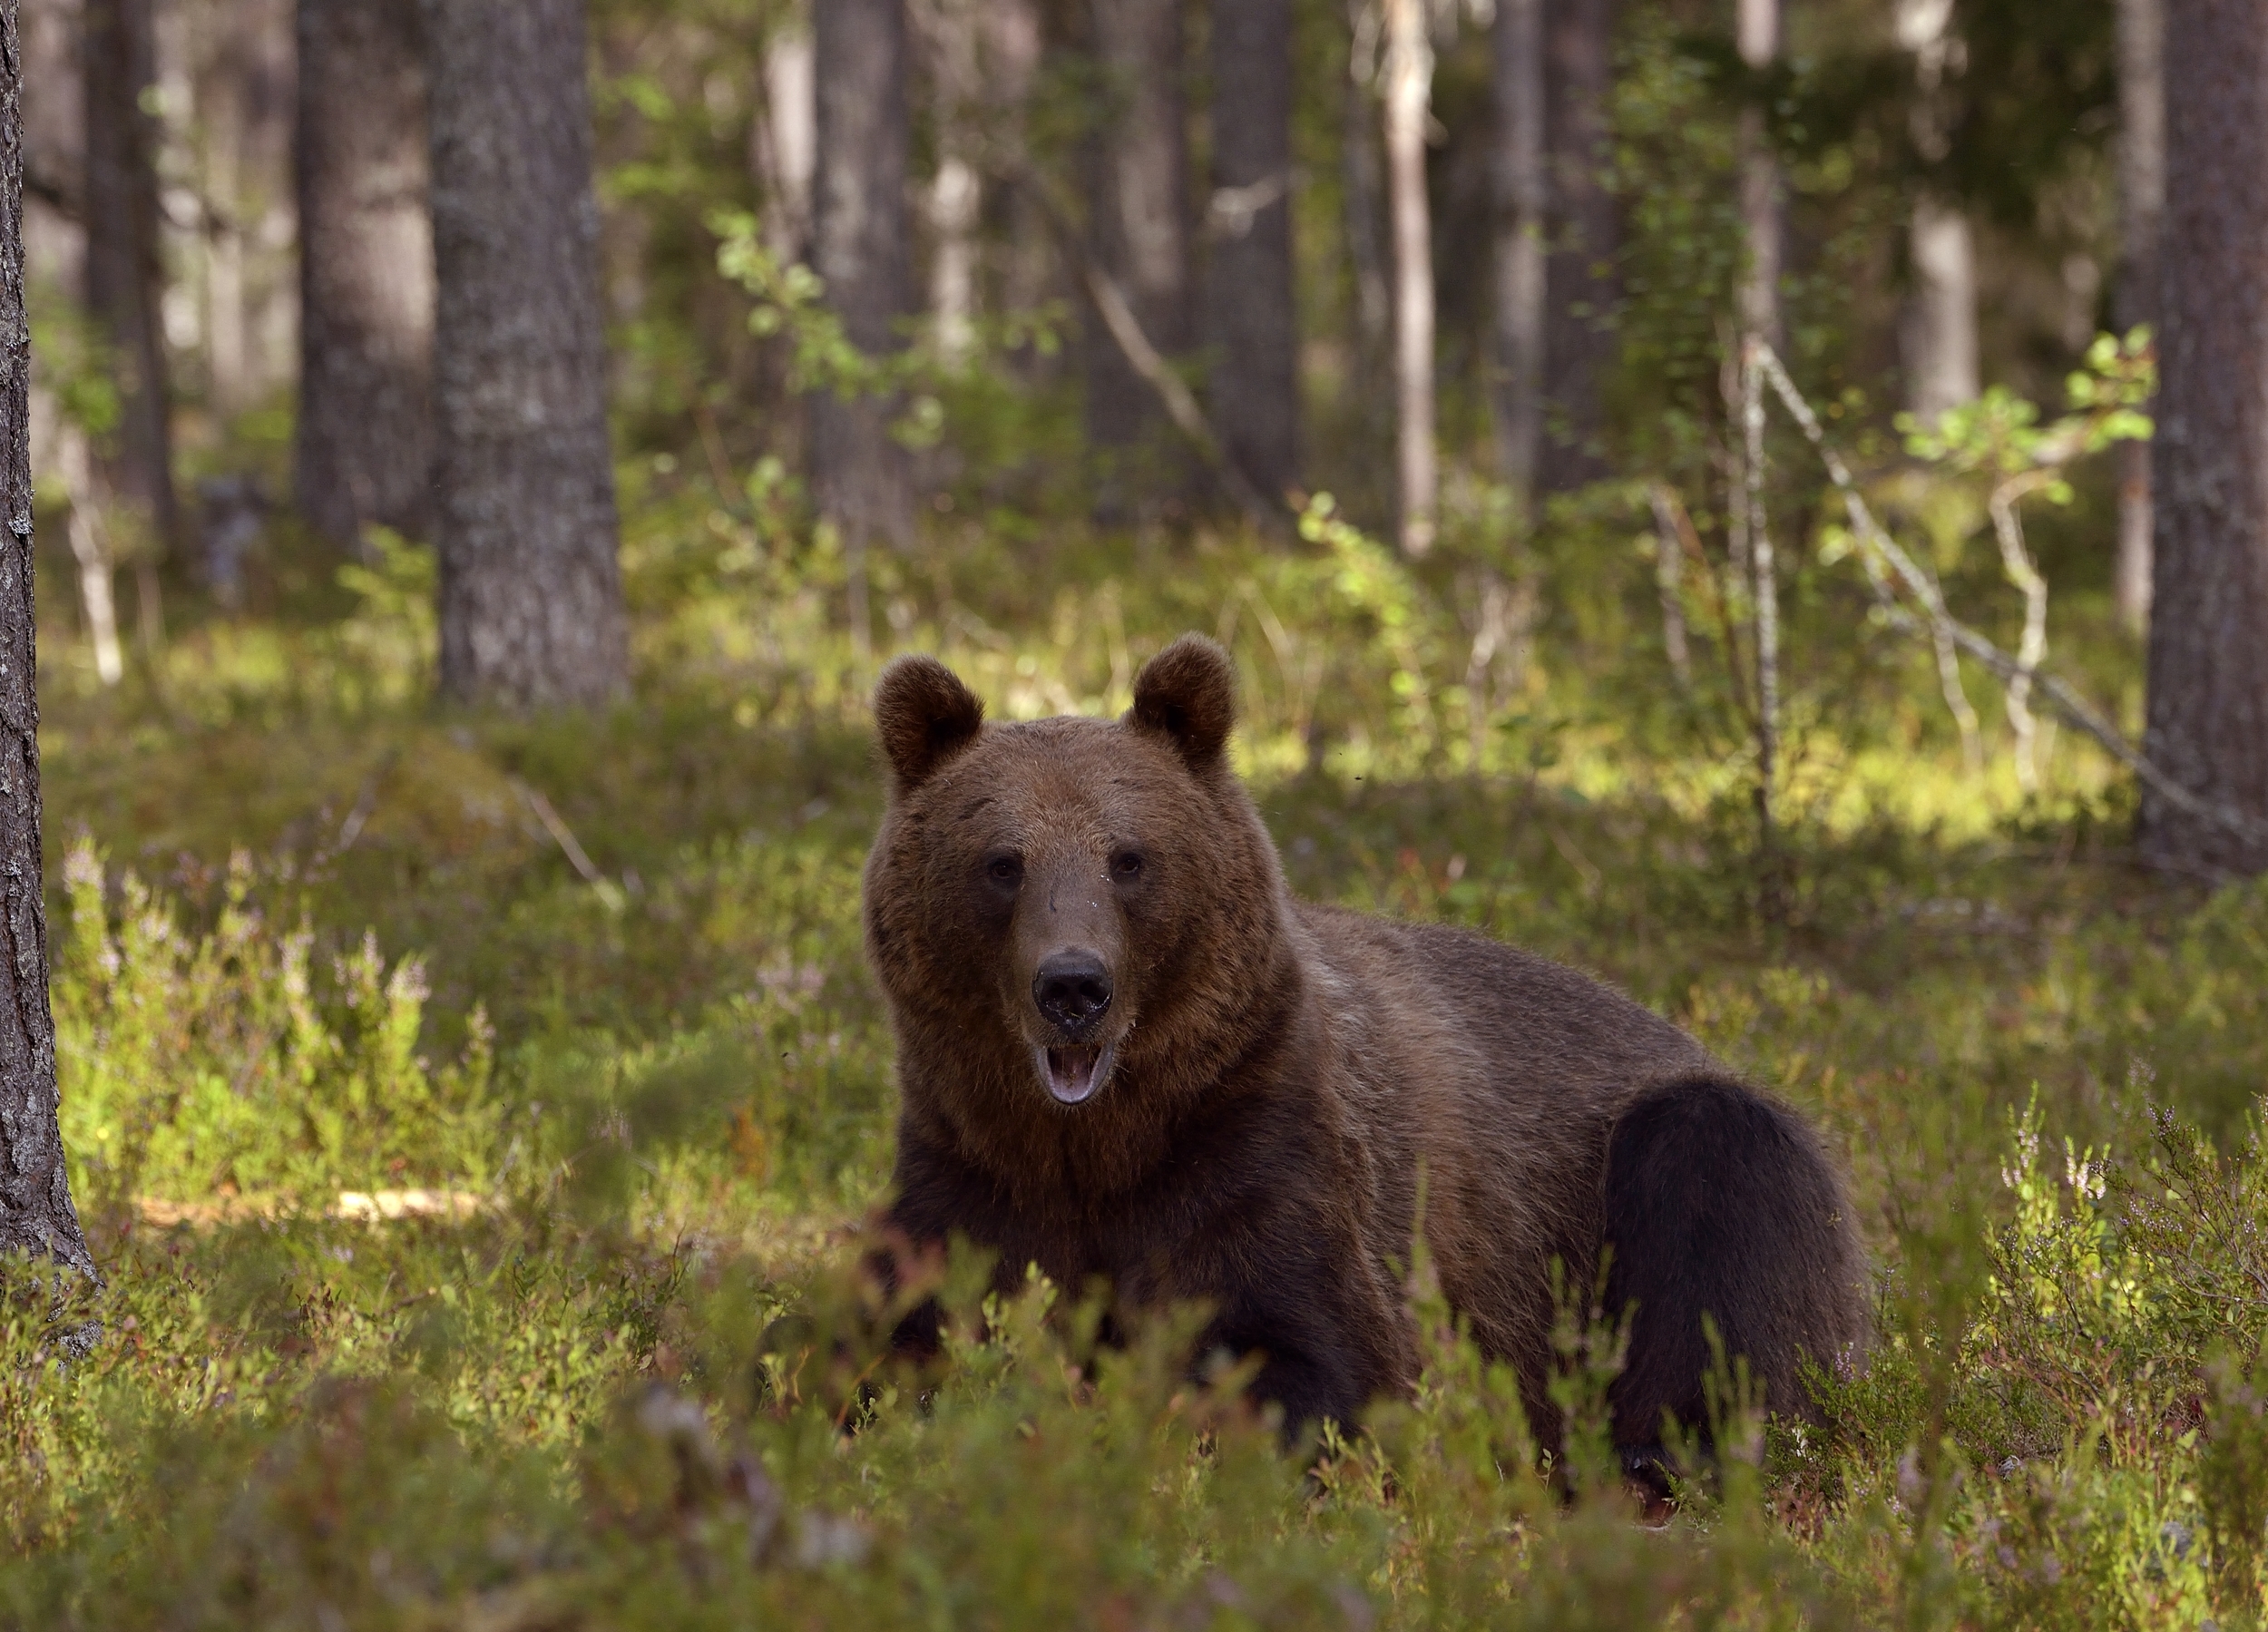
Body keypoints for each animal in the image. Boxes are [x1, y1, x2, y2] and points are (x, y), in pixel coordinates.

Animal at [862, 633, 1867, 1467]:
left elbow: (1318, 1357)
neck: (1097, 1142)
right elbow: (889, 1335)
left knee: (1718, 1185)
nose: (1073, 986)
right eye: (1003, 861)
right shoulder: (971, 1165)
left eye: (1128, 857)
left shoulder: (1262, 1149)